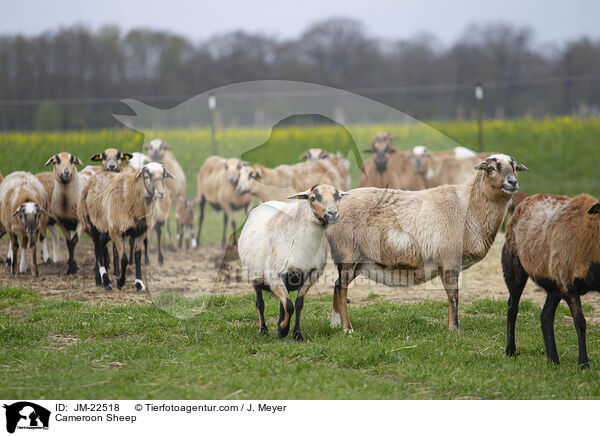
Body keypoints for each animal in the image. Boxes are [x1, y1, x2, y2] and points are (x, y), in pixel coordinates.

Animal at [78, 162, 175, 292]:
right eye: (146, 176)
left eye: (163, 176)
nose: (161, 194)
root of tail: (93, 178)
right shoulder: (117, 232)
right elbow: (123, 258)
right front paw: (120, 282)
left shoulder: (140, 232)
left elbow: (138, 256)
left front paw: (138, 283)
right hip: (92, 225)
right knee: (97, 250)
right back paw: (106, 281)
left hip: (106, 229)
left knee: (102, 246)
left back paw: (100, 280)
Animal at [239, 184, 346, 340]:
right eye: (313, 198)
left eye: (338, 196)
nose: (332, 213)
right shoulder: (274, 276)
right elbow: (289, 305)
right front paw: (283, 330)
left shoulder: (312, 274)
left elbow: (298, 304)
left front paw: (296, 334)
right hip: (255, 276)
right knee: (260, 303)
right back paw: (263, 330)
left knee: (282, 303)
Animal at [326, 153, 528, 330]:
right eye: (491, 168)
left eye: (514, 167)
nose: (512, 182)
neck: (468, 207)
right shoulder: (449, 259)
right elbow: (454, 295)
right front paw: (454, 328)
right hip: (347, 253)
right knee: (342, 288)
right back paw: (347, 328)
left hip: (358, 260)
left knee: (336, 286)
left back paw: (335, 324)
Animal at [502, 192, 600, 366]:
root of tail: (528, 198)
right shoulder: (568, 284)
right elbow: (580, 322)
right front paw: (583, 363)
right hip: (513, 265)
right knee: (513, 307)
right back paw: (510, 351)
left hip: (553, 283)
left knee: (545, 316)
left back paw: (553, 359)